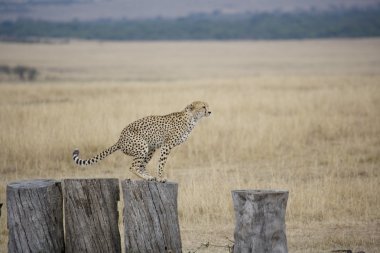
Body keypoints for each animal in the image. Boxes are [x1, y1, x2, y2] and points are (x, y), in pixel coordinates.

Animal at [72, 101, 211, 182]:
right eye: (203, 106)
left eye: (208, 106)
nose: (210, 111)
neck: (192, 118)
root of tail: (119, 139)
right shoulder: (167, 145)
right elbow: (161, 163)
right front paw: (161, 178)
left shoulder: (163, 146)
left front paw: (158, 177)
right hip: (142, 145)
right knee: (133, 166)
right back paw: (148, 177)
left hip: (151, 148)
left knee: (141, 165)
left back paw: (149, 177)